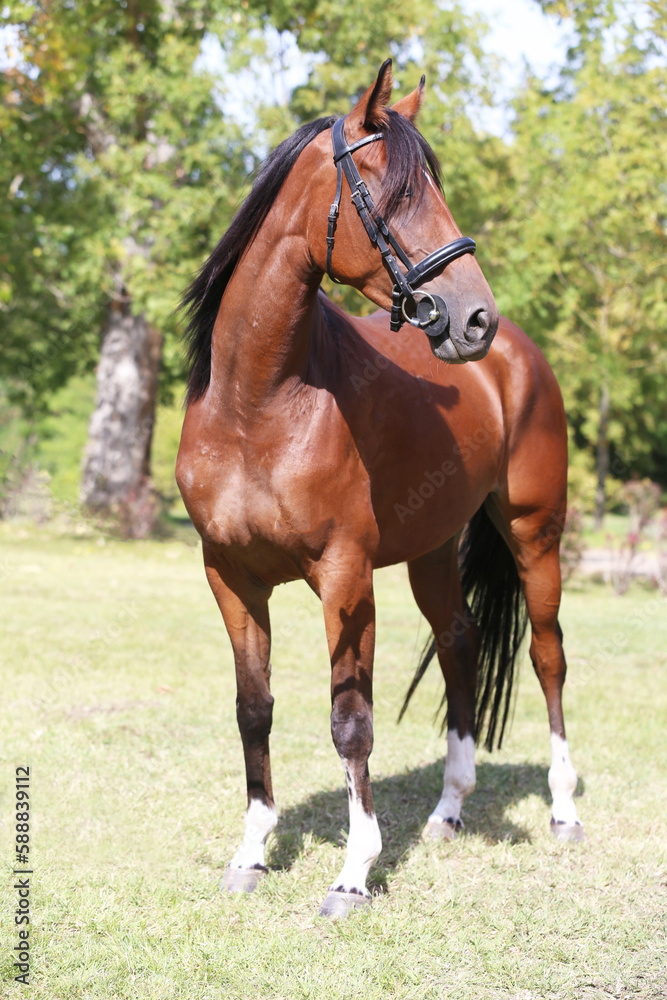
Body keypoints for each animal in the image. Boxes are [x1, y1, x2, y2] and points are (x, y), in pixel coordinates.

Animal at [176, 59, 583, 919]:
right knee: (461, 643)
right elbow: (253, 710)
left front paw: (353, 874)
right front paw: (250, 853)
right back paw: (448, 810)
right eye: (390, 194)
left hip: (534, 532)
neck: (259, 404)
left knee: (547, 656)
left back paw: (563, 810)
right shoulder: (229, 577)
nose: (472, 318)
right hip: (432, 550)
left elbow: (350, 721)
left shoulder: (345, 577)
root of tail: (518, 356)